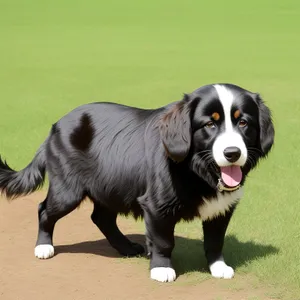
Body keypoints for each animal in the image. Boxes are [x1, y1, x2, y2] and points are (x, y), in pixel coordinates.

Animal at [0, 83, 274, 282]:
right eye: (209, 124)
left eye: (243, 122)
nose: (232, 153)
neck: (197, 170)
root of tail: (56, 126)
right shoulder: (156, 205)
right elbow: (163, 240)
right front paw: (162, 269)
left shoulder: (222, 207)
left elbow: (215, 240)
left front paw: (218, 267)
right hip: (68, 190)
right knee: (45, 210)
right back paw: (43, 247)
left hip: (110, 186)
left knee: (102, 218)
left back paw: (126, 247)